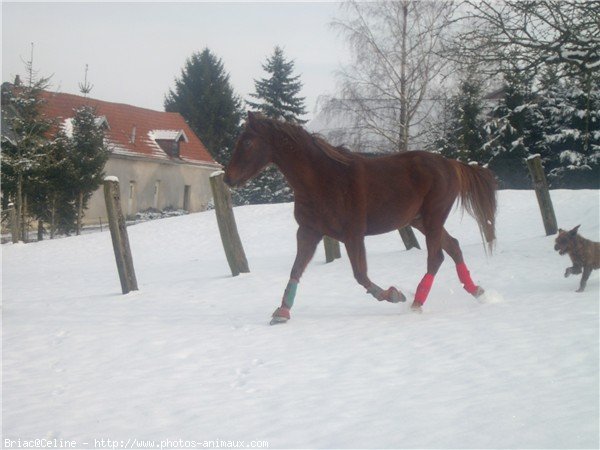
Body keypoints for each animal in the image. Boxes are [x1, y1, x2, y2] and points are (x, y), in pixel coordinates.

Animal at [225, 112, 496, 324]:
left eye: (247, 142)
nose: (228, 178)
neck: (322, 180)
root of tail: (450, 163)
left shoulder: (352, 234)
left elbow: (360, 275)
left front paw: (394, 294)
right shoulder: (308, 232)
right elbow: (296, 269)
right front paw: (282, 312)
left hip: (433, 217)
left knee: (436, 257)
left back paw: (416, 303)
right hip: (420, 221)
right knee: (453, 247)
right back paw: (478, 292)